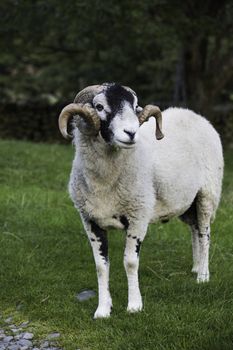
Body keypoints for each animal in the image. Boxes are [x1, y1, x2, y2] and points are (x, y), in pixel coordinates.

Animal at [58, 83, 224, 318]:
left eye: (135, 106)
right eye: (99, 106)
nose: (131, 133)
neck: (105, 183)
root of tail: (194, 114)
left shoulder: (138, 215)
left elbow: (130, 262)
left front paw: (135, 306)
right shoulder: (90, 220)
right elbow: (101, 266)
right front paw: (103, 309)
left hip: (207, 194)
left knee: (205, 234)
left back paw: (203, 275)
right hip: (186, 202)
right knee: (195, 230)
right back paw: (195, 267)